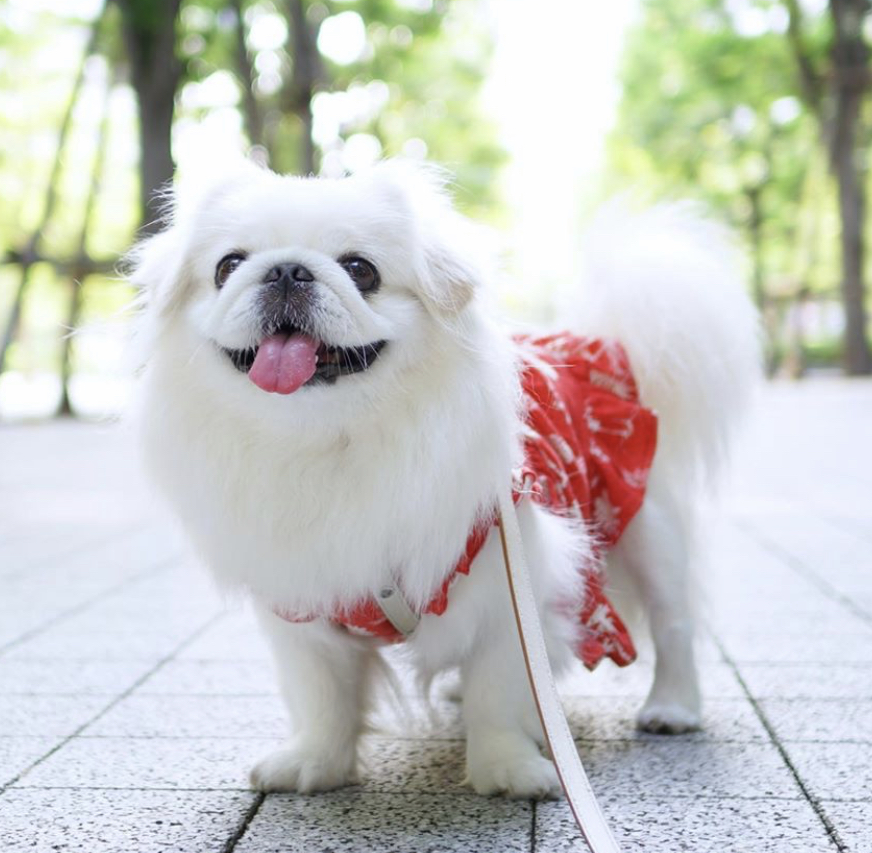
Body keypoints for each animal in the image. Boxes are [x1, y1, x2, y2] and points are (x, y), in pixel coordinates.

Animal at [127, 161, 756, 800]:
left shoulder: (512, 592)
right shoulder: (303, 604)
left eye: (361, 269)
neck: (329, 440)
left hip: (647, 532)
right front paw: (314, 764)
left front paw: (508, 771)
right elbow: (323, 693)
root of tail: (596, 342)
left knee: (674, 622)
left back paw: (672, 709)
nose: (286, 269)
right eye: (228, 266)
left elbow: (499, 689)